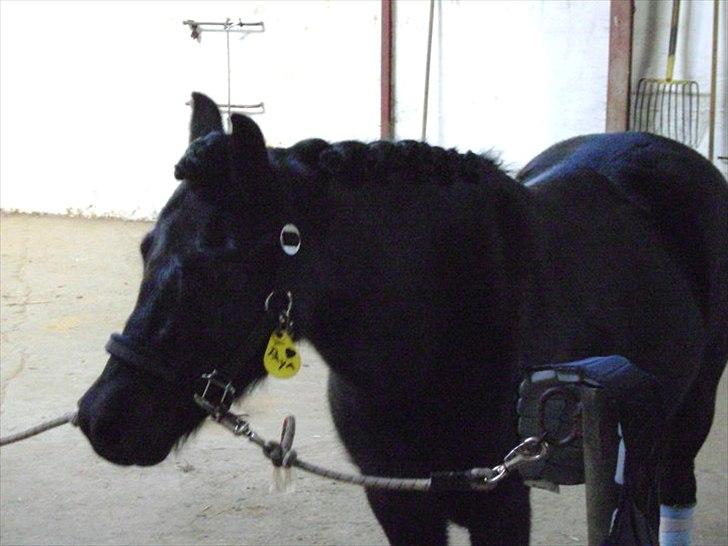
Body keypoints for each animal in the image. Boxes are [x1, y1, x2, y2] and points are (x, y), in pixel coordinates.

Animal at [77, 92, 728, 545]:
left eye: (213, 269)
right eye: (146, 251)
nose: (100, 419)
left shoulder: (501, 502)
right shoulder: (397, 499)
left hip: (687, 413)